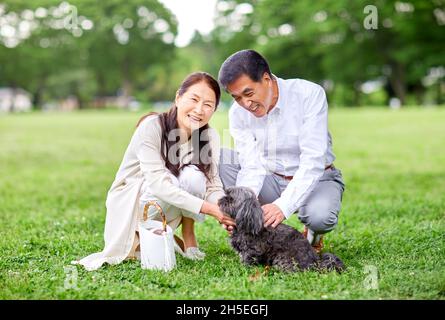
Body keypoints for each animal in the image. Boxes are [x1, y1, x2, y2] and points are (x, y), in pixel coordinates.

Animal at [217, 186, 346, 272]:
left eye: (231, 199)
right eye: (226, 194)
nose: (220, 199)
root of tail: (315, 262)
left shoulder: (252, 249)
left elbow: (247, 259)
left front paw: (242, 268)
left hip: (282, 258)